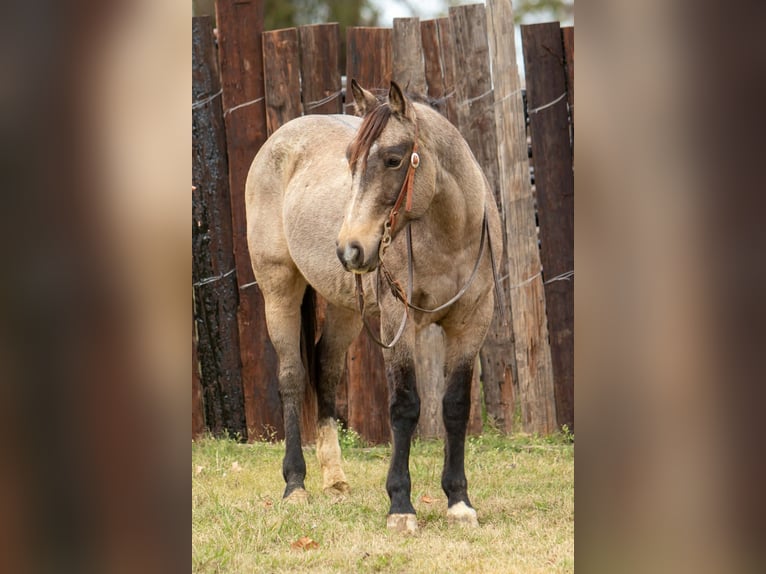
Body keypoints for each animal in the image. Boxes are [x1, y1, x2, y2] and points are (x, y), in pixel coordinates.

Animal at [245, 80, 503, 533]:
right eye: (350, 161)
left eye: (393, 159)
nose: (350, 248)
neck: (450, 236)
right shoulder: (400, 322)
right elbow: (405, 406)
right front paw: (401, 504)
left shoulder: (472, 322)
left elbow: (455, 406)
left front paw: (458, 502)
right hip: (278, 292)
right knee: (292, 377)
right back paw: (296, 485)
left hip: (348, 308)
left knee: (326, 369)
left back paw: (335, 480)